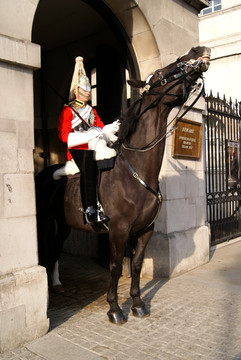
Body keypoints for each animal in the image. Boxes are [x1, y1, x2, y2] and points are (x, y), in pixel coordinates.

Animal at [34, 46, 210, 324]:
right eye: (159, 73)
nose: (196, 51)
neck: (137, 172)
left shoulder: (145, 229)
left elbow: (136, 264)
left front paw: (138, 304)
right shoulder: (118, 229)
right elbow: (116, 266)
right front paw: (115, 308)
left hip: (64, 224)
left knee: (55, 249)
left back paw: (57, 284)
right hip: (45, 221)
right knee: (46, 249)